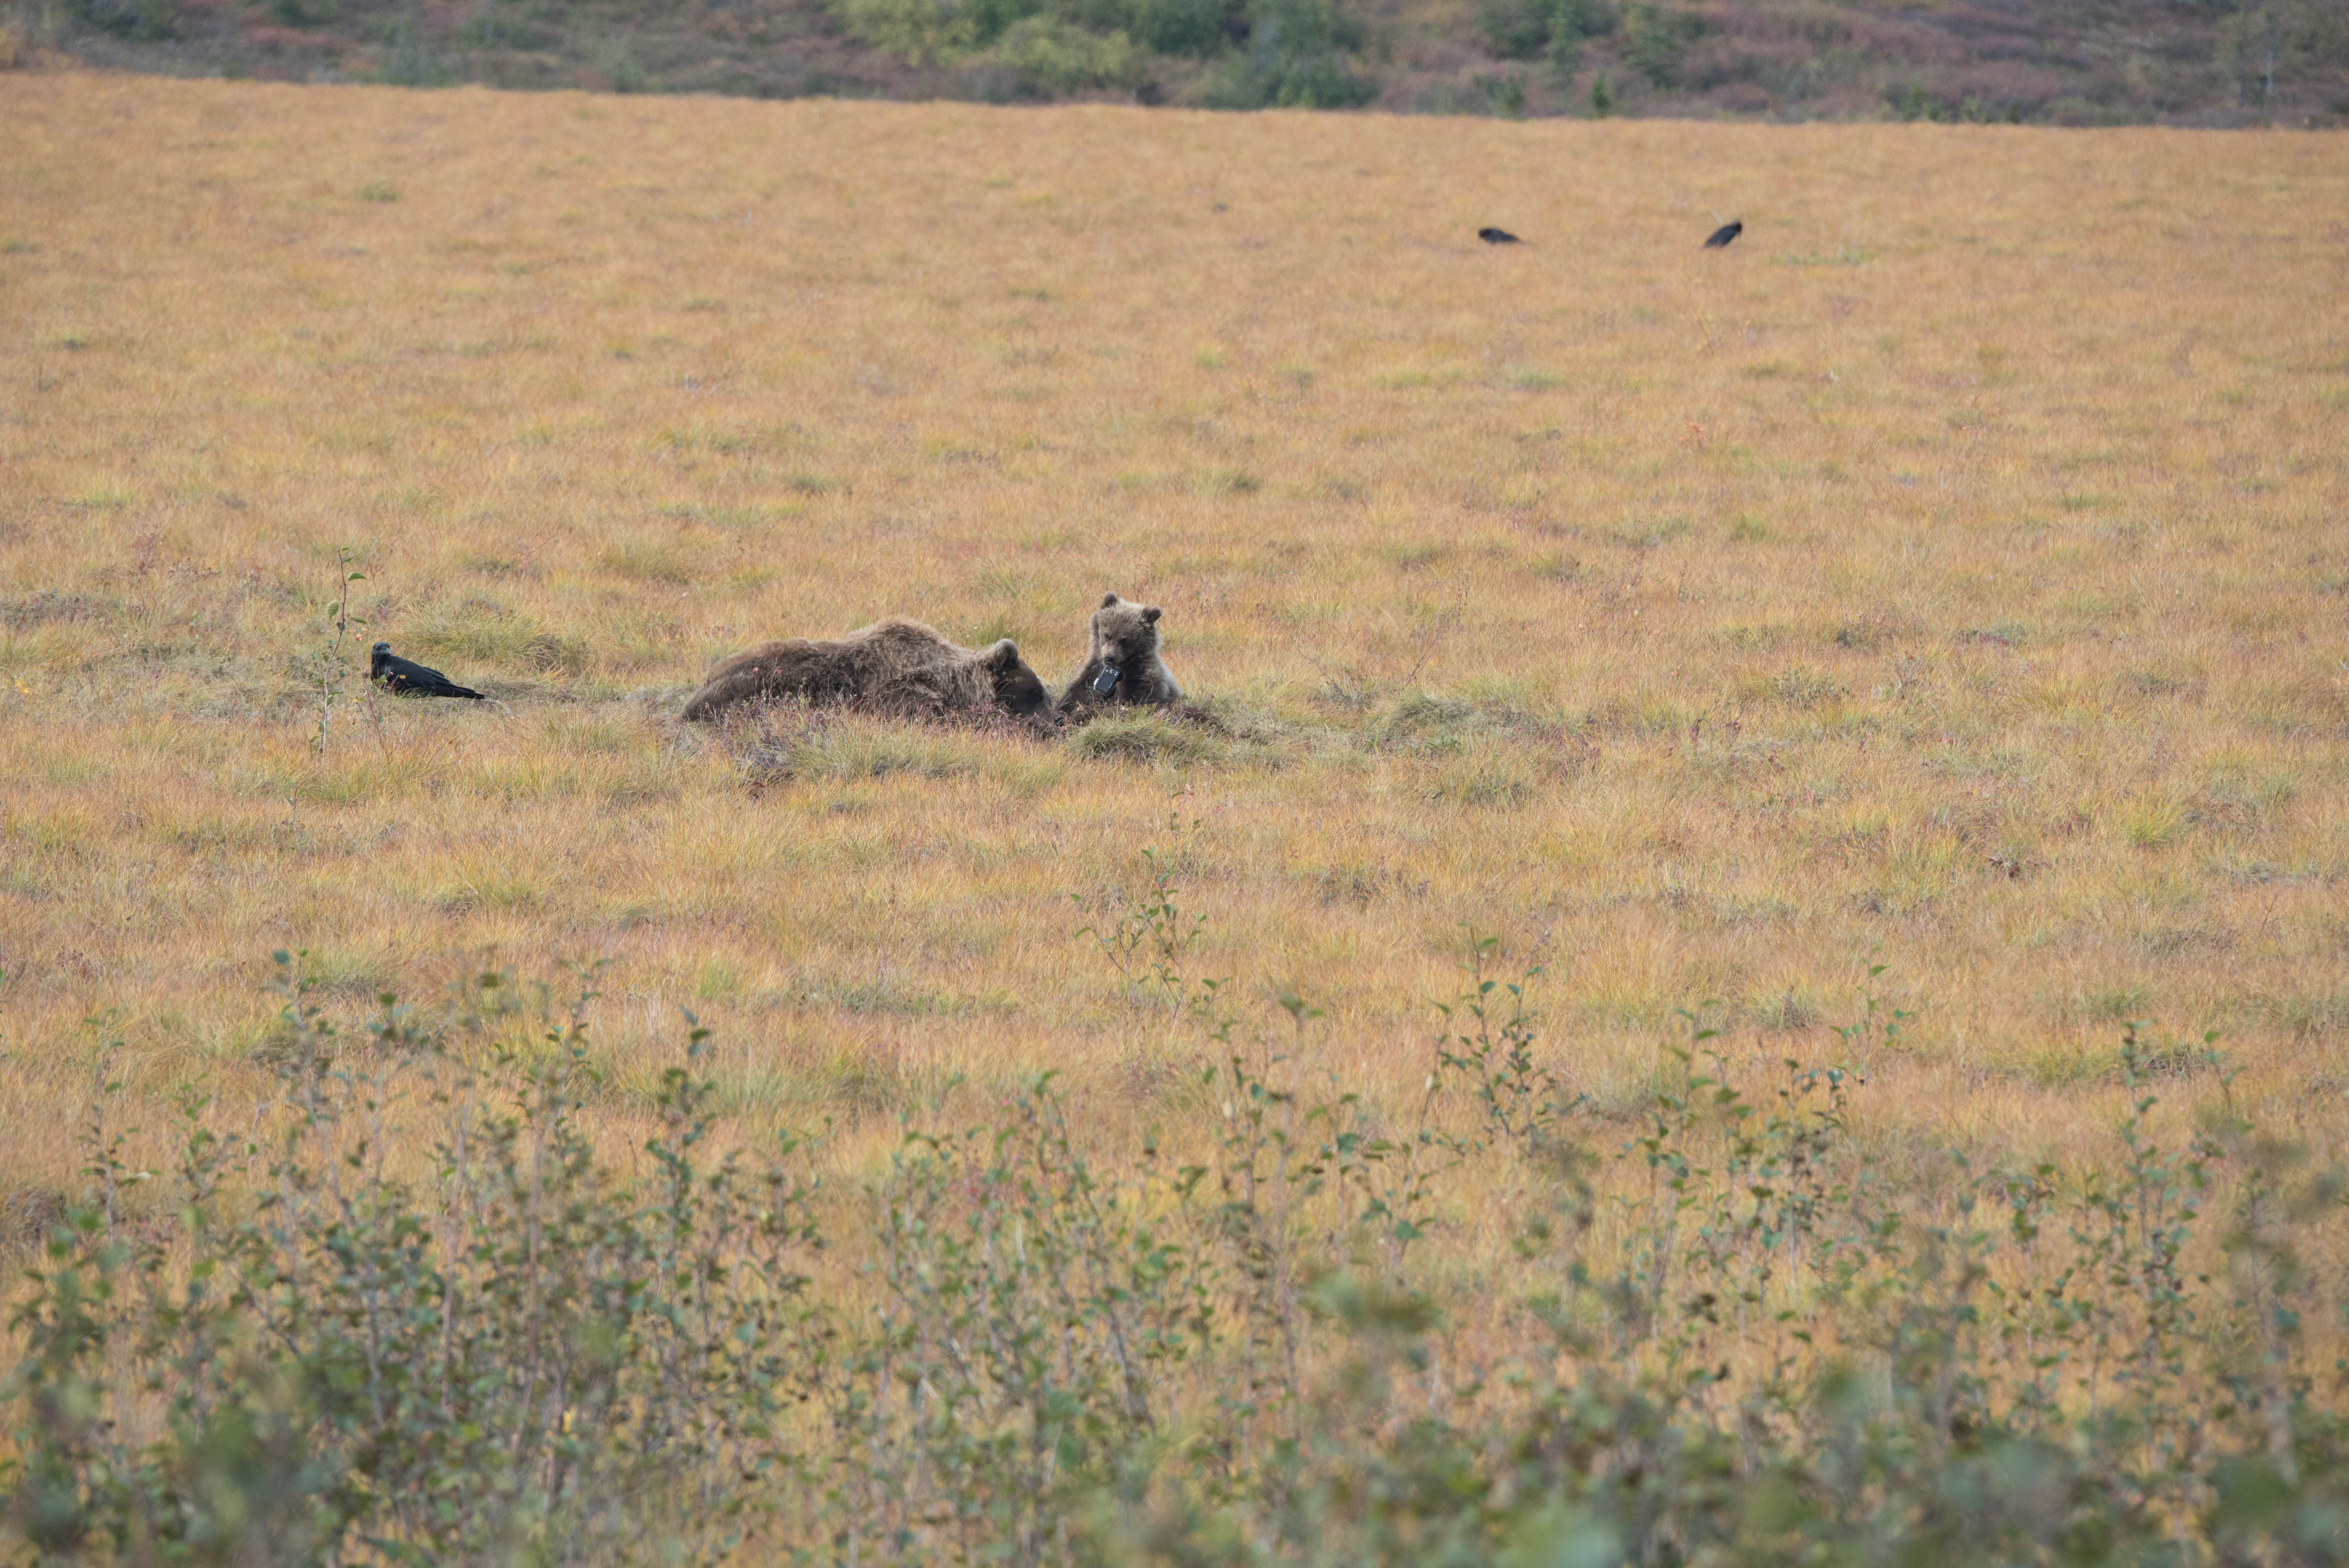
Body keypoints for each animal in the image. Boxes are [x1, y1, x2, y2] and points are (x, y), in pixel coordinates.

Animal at [1062, 594, 1184, 718]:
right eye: (1107, 635)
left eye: (1125, 641)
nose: (1109, 657)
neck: (1120, 668)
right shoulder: (1093, 671)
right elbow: (1077, 692)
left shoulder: (1143, 678)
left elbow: (1144, 698)